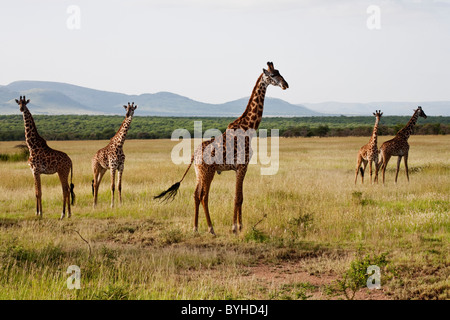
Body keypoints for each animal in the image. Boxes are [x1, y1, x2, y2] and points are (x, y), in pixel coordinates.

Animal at [155, 61, 288, 235]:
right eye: (272, 75)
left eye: (279, 72)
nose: (285, 85)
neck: (248, 128)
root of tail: (194, 156)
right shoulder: (242, 166)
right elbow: (237, 197)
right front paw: (235, 228)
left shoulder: (241, 168)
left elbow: (241, 197)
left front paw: (240, 226)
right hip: (208, 172)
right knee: (204, 196)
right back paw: (211, 228)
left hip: (199, 172)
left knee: (195, 195)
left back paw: (195, 227)